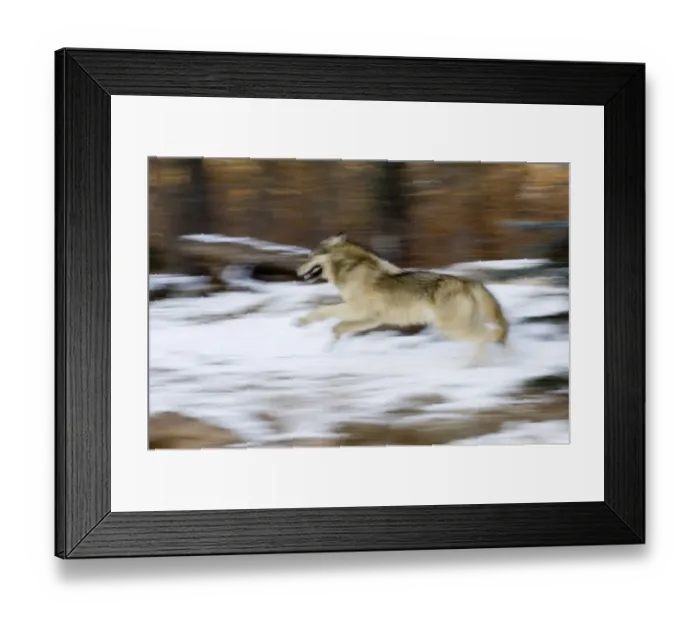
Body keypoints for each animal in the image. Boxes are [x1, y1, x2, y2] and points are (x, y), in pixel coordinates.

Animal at [295, 233, 509, 365]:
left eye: (309, 256)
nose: (297, 271)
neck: (351, 268)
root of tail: (469, 282)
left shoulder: (360, 311)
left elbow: (326, 313)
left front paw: (301, 322)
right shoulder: (370, 319)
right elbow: (337, 326)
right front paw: (330, 345)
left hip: (454, 328)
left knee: (489, 336)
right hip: (461, 326)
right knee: (491, 336)